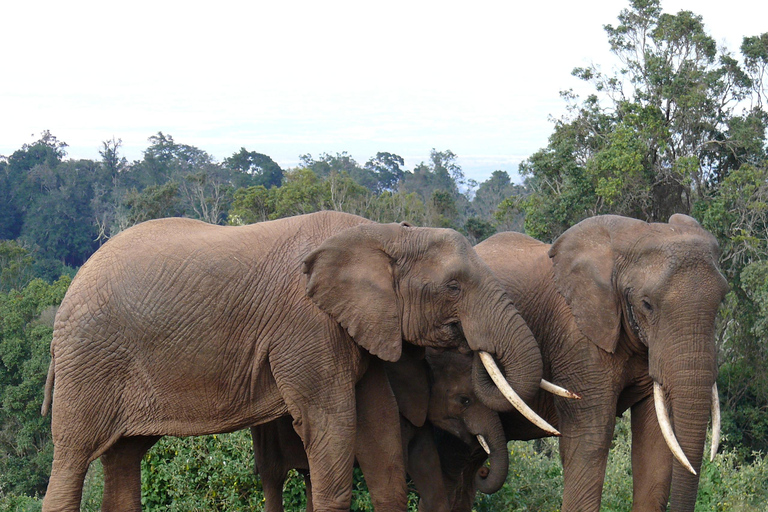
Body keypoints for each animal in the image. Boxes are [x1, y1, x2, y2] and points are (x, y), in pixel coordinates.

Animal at [40, 210, 552, 510]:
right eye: (454, 287)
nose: (481, 469)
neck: (383, 233)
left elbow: (379, 429)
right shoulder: (308, 328)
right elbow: (332, 424)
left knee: (124, 457)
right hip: (89, 360)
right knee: (73, 456)